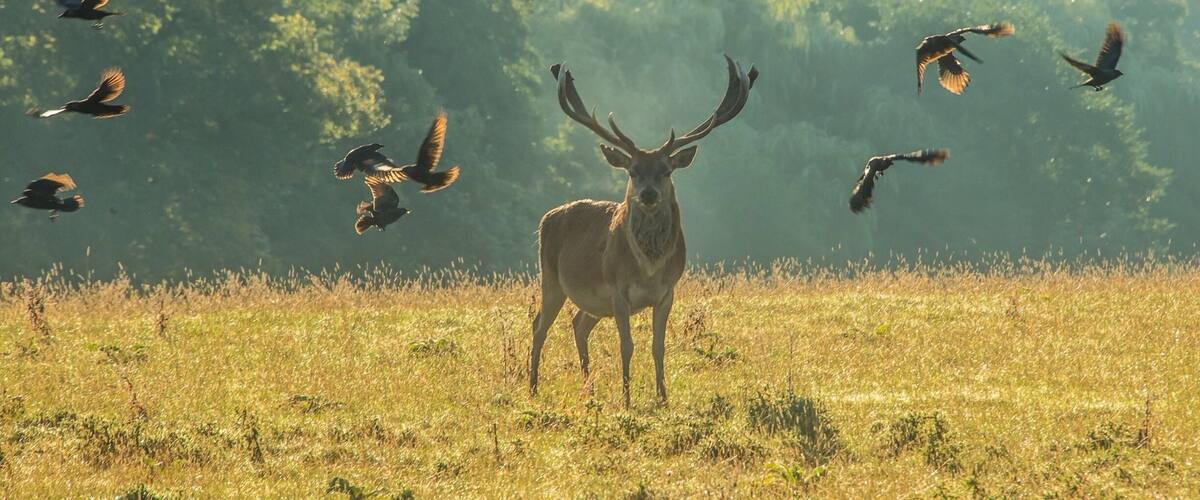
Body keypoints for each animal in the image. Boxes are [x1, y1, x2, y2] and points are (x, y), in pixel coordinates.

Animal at [530, 55, 758, 407]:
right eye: (633, 171)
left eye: (665, 171)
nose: (648, 194)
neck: (648, 268)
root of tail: (546, 219)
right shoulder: (617, 289)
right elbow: (627, 346)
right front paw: (626, 399)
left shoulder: (667, 293)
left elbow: (657, 347)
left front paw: (663, 398)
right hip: (551, 277)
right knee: (539, 324)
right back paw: (533, 387)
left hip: (592, 301)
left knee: (578, 323)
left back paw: (588, 387)